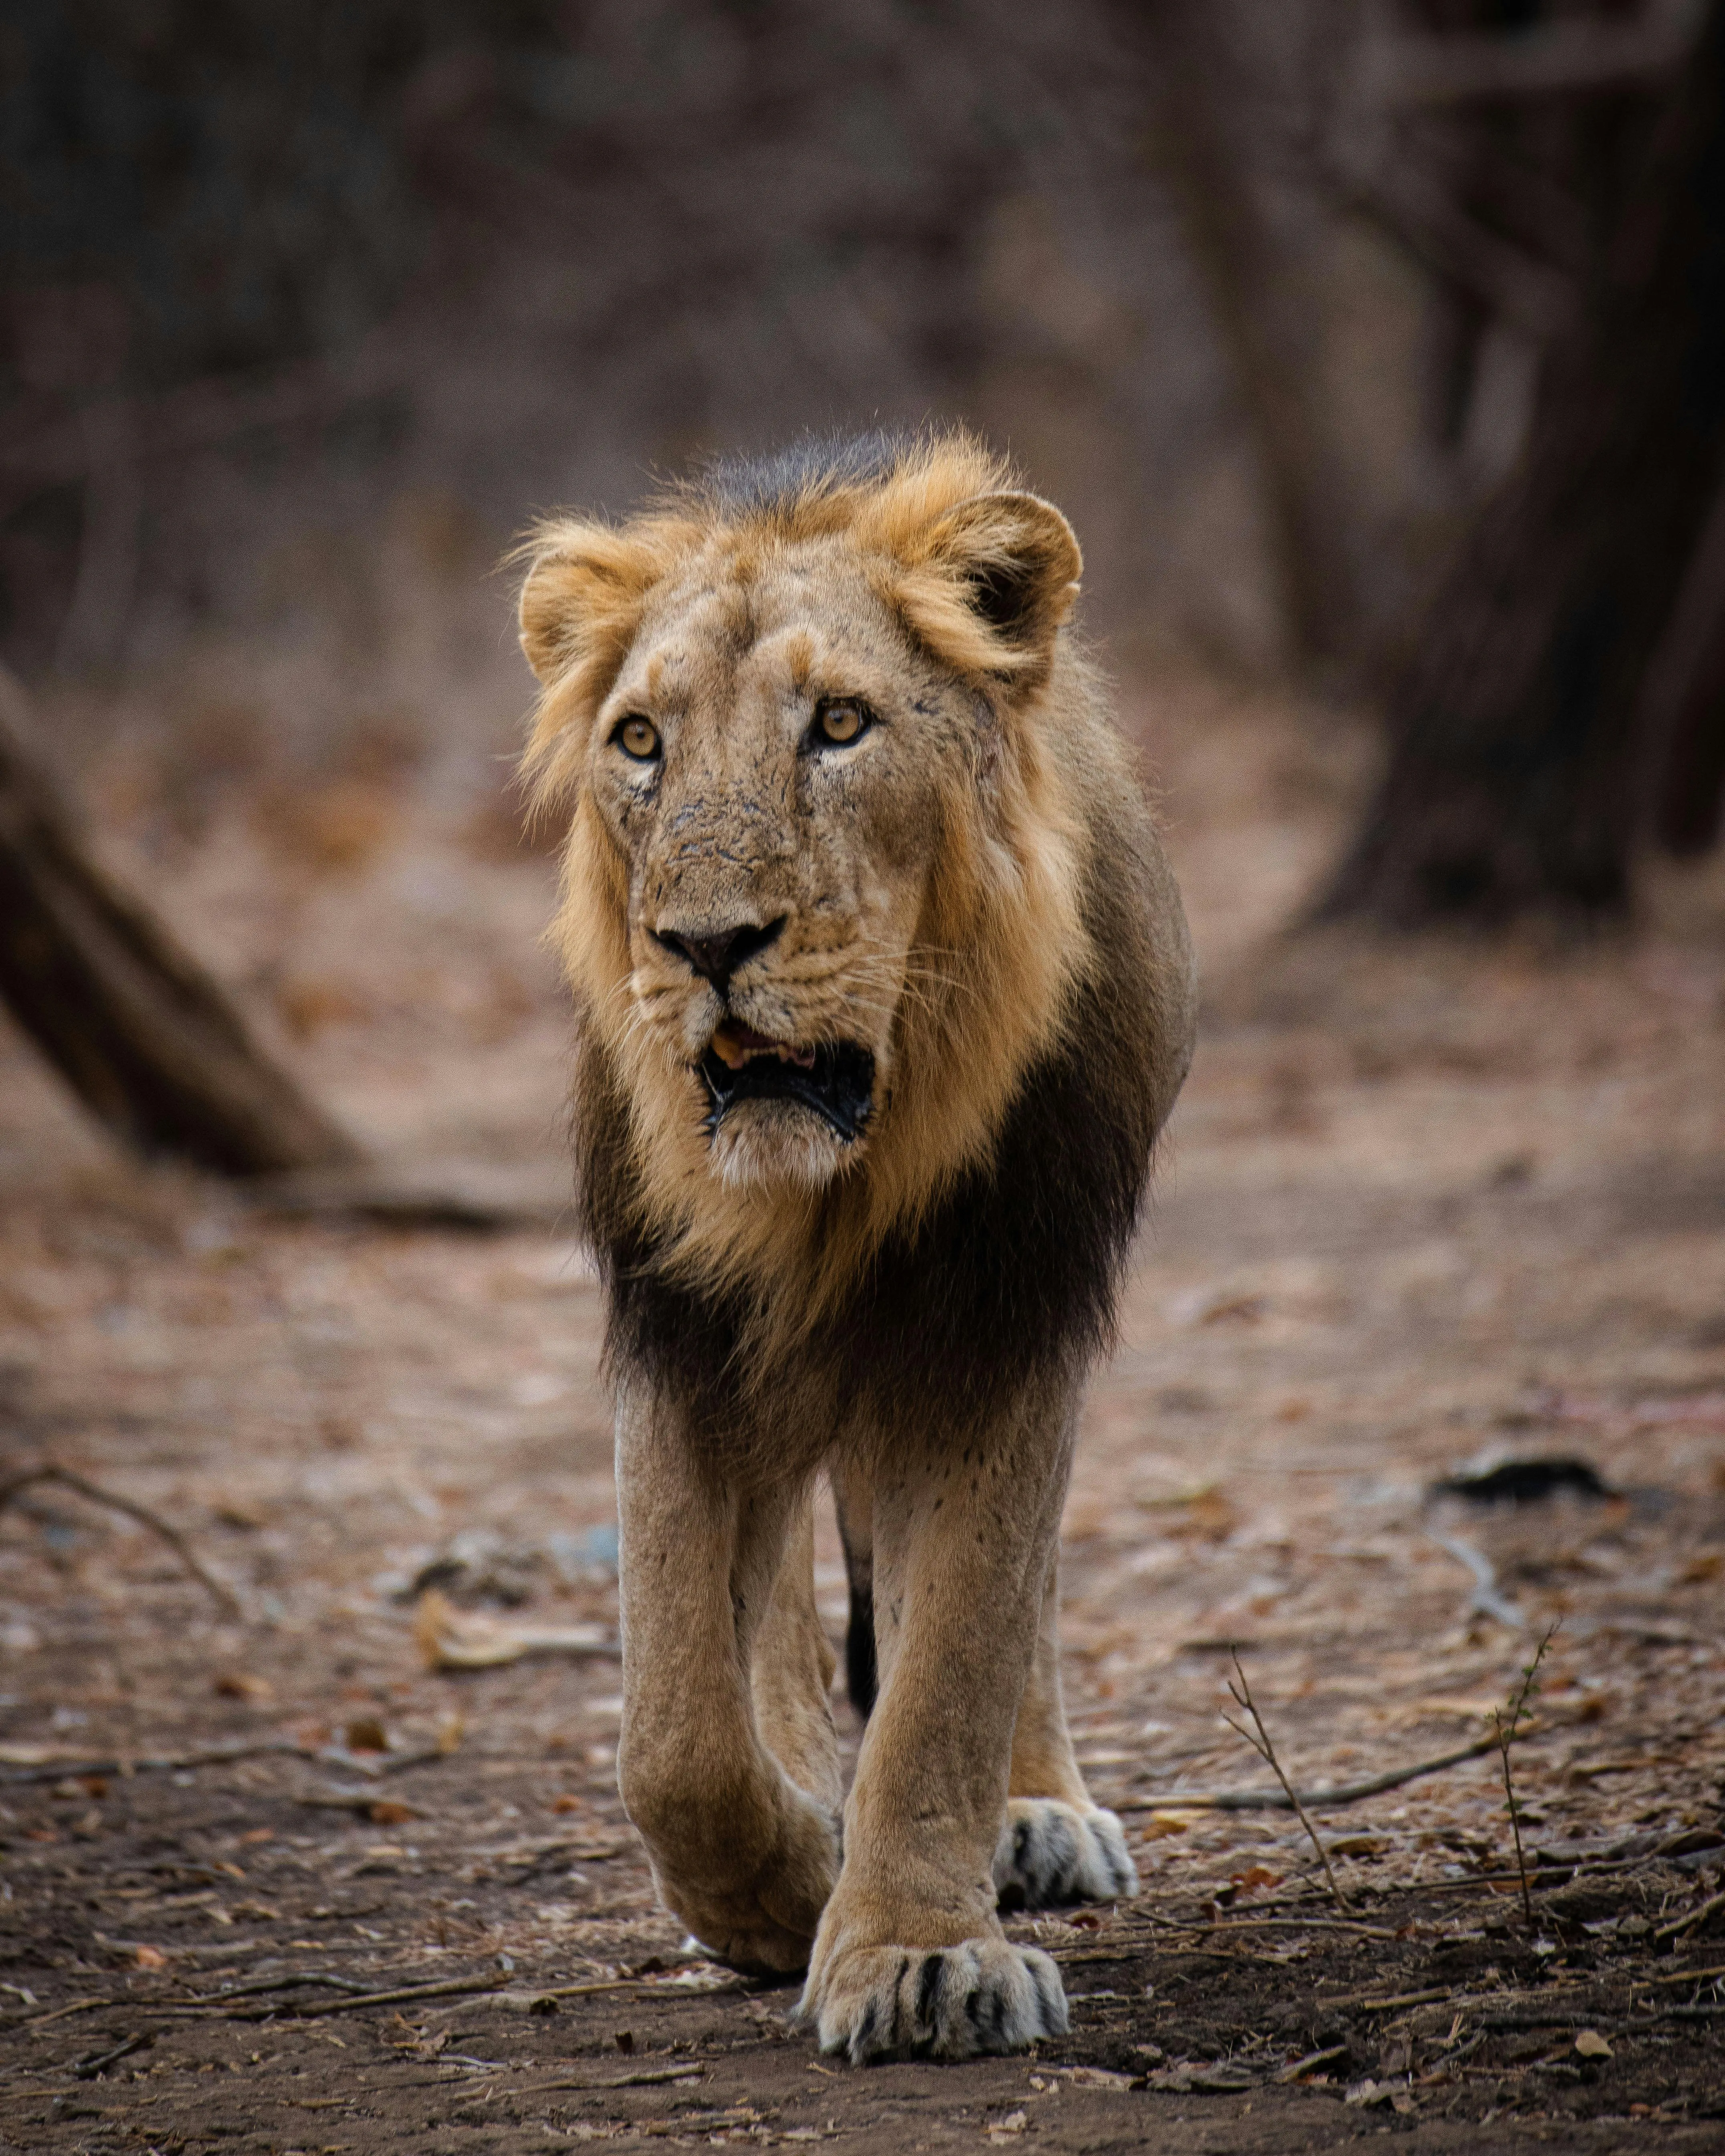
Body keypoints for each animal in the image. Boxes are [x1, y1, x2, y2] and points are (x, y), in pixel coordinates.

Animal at [516, 431, 1196, 2064]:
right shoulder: (681, 1329)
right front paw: (778, 1887)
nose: (707, 944)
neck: (826, 1193)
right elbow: (676, 1731)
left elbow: (958, 1655)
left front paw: (916, 1952)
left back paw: (1032, 1812)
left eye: (839, 724)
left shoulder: (1010, 1309)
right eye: (641, 741)